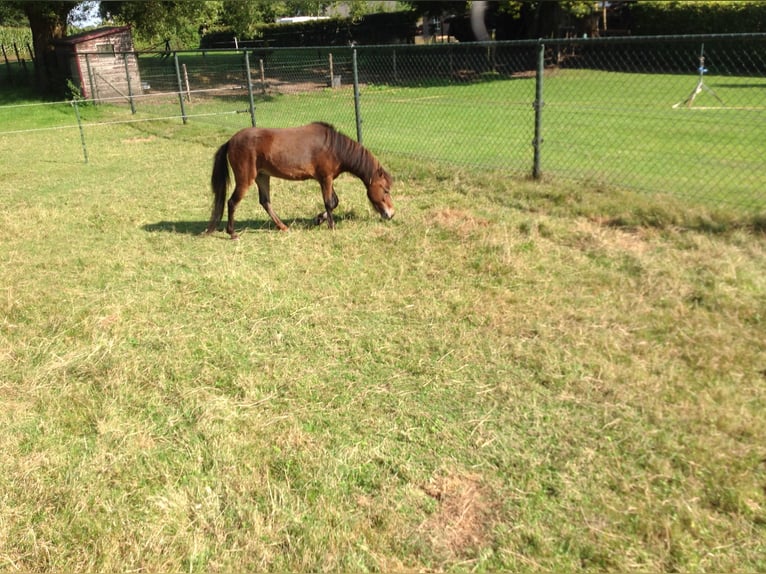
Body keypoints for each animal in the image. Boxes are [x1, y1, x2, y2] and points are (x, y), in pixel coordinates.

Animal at [206, 122, 395, 238]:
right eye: (385, 190)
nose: (391, 214)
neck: (334, 147)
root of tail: (231, 141)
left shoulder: (327, 179)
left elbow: (334, 202)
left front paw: (318, 219)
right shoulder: (325, 178)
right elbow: (329, 202)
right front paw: (331, 226)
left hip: (262, 176)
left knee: (265, 202)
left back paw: (283, 227)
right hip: (246, 179)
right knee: (232, 202)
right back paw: (232, 233)